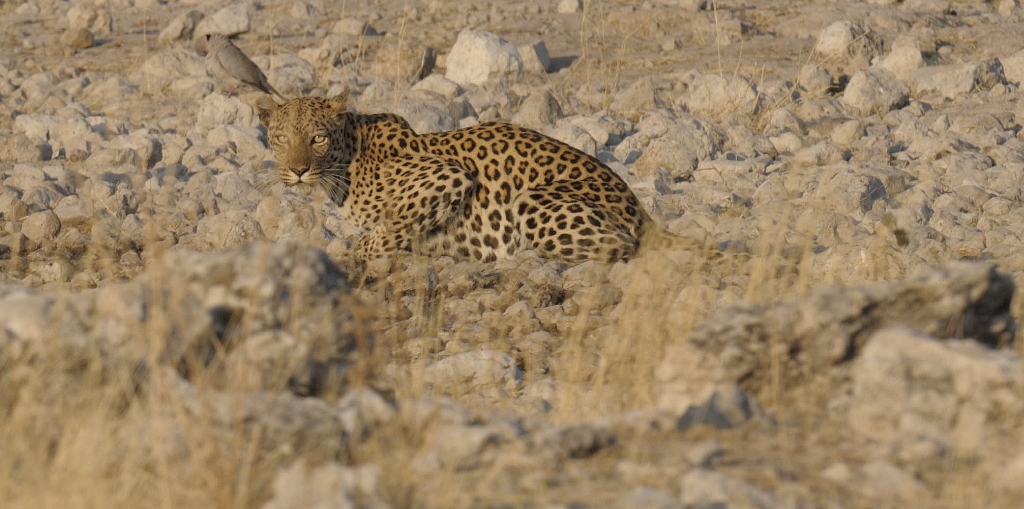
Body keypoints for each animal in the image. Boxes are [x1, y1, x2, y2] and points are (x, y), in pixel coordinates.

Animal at [254, 92, 666, 264]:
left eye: (317, 138)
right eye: (282, 138)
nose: (298, 170)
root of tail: (644, 216)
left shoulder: (447, 177)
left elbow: (387, 232)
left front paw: (353, 252)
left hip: (532, 200)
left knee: (621, 247)